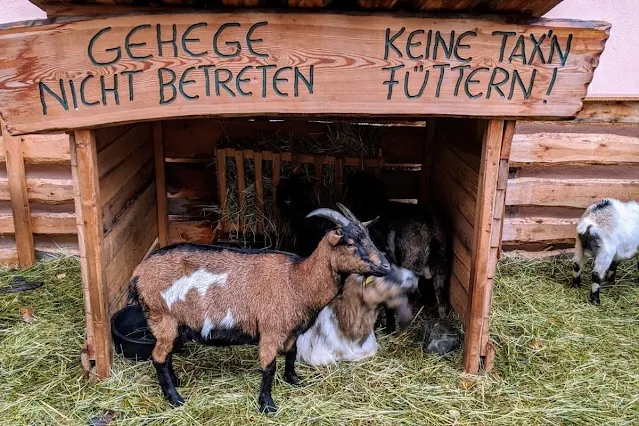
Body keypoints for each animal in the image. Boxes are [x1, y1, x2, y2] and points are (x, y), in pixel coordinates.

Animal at [134, 206, 390, 412]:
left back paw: (176, 383)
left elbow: (291, 354)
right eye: (350, 243)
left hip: (172, 325)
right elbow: (269, 367)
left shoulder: (291, 331)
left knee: (166, 355)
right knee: (158, 357)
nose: (386, 266)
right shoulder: (270, 331)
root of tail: (139, 272)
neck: (297, 280)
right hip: (162, 317)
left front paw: (294, 380)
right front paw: (267, 405)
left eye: (368, 237)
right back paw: (175, 399)